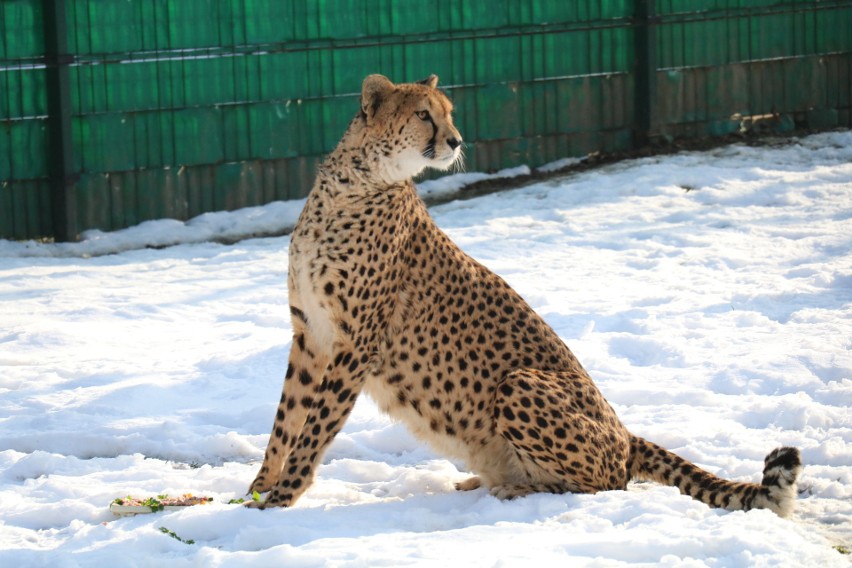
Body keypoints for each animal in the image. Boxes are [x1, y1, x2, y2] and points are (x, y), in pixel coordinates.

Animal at [245, 73, 800, 516]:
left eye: (448, 113)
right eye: (423, 114)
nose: (456, 140)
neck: (351, 186)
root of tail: (625, 434)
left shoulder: (356, 343)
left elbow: (314, 427)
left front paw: (280, 498)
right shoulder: (311, 334)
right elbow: (286, 421)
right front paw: (257, 491)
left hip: (519, 384)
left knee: (603, 487)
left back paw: (515, 491)